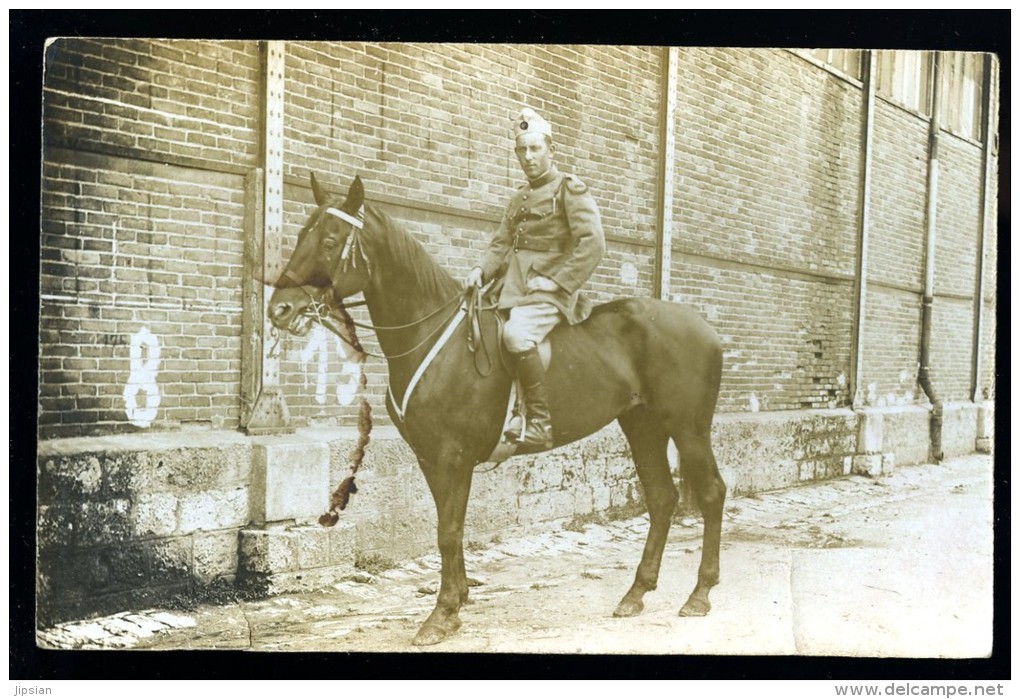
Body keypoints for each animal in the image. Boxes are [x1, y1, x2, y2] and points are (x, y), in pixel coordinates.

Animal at [267, 173, 722, 644]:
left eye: (329, 240)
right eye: (301, 234)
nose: (279, 309)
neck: (435, 337)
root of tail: (704, 327)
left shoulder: (452, 456)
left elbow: (448, 532)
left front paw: (441, 613)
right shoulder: (430, 458)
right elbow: (450, 527)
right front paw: (458, 600)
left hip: (689, 429)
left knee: (710, 493)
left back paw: (699, 594)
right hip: (643, 426)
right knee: (663, 498)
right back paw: (636, 592)